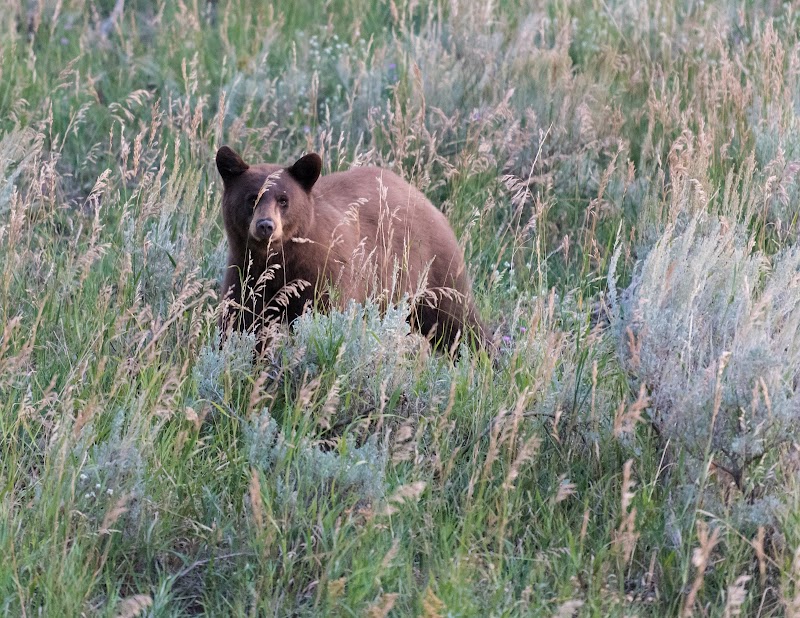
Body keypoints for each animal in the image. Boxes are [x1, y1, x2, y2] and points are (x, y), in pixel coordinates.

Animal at [215, 145, 486, 354]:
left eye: (284, 200)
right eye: (252, 198)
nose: (266, 226)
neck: (280, 260)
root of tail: (424, 199)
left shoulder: (325, 273)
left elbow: (326, 316)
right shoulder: (245, 275)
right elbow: (239, 323)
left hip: (434, 270)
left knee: (459, 321)